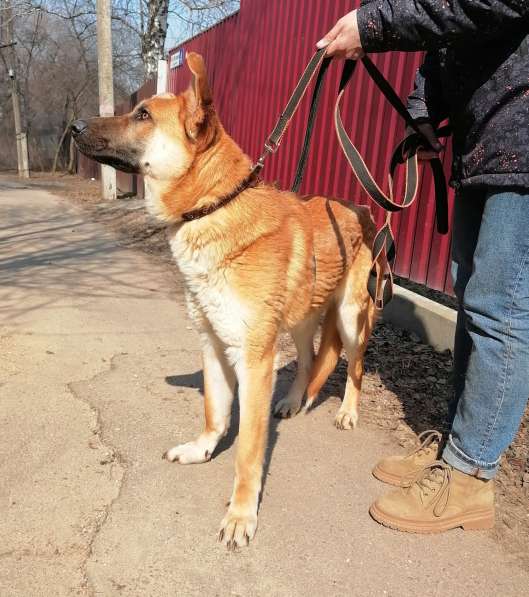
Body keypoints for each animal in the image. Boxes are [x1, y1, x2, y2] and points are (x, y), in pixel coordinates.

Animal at [73, 52, 376, 548]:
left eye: (143, 115)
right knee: (311, 359)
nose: (75, 126)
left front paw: (240, 514)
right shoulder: (213, 344)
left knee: (355, 366)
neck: (214, 207)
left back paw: (348, 411)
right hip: (300, 320)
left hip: (351, 318)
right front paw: (202, 449)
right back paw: (295, 399)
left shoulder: (253, 361)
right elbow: (215, 413)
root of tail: (363, 210)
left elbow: (249, 451)